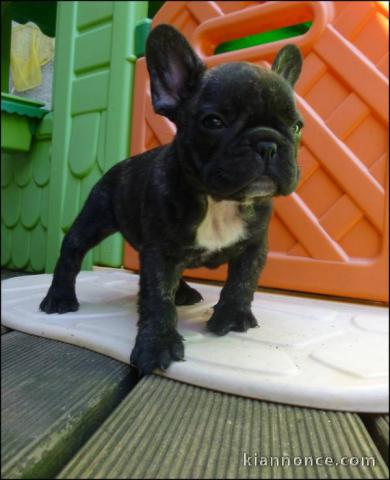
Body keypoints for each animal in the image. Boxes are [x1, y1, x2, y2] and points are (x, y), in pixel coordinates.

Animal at [39, 24, 304, 376]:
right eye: (214, 122)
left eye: (297, 126)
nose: (268, 143)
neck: (218, 201)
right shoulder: (160, 252)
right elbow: (157, 298)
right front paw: (158, 344)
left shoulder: (253, 245)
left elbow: (242, 281)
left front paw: (232, 316)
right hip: (95, 217)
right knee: (72, 250)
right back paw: (59, 297)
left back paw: (186, 292)